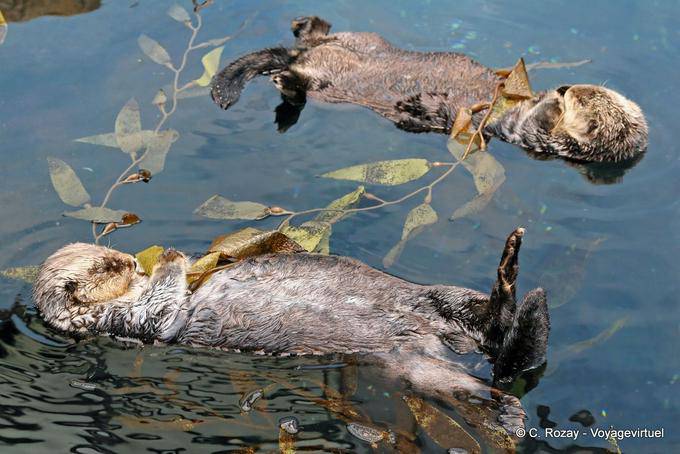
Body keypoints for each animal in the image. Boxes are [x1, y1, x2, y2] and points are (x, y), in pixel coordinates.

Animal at [33, 228, 548, 437]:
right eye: (104, 267)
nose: (128, 260)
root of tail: (452, 346)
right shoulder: (128, 323)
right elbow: (159, 307)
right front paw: (172, 259)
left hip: (436, 301)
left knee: (489, 324)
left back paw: (513, 275)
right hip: (411, 369)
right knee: (488, 375)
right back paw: (509, 408)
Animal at [211, 16, 648, 163]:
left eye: (583, 99)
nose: (565, 86)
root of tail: (302, 57)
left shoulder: (530, 135)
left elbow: (537, 124)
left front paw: (552, 106)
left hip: (325, 86)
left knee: (297, 84)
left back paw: (288, 80)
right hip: (362, 39)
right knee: (313, 37)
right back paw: (306, 23)